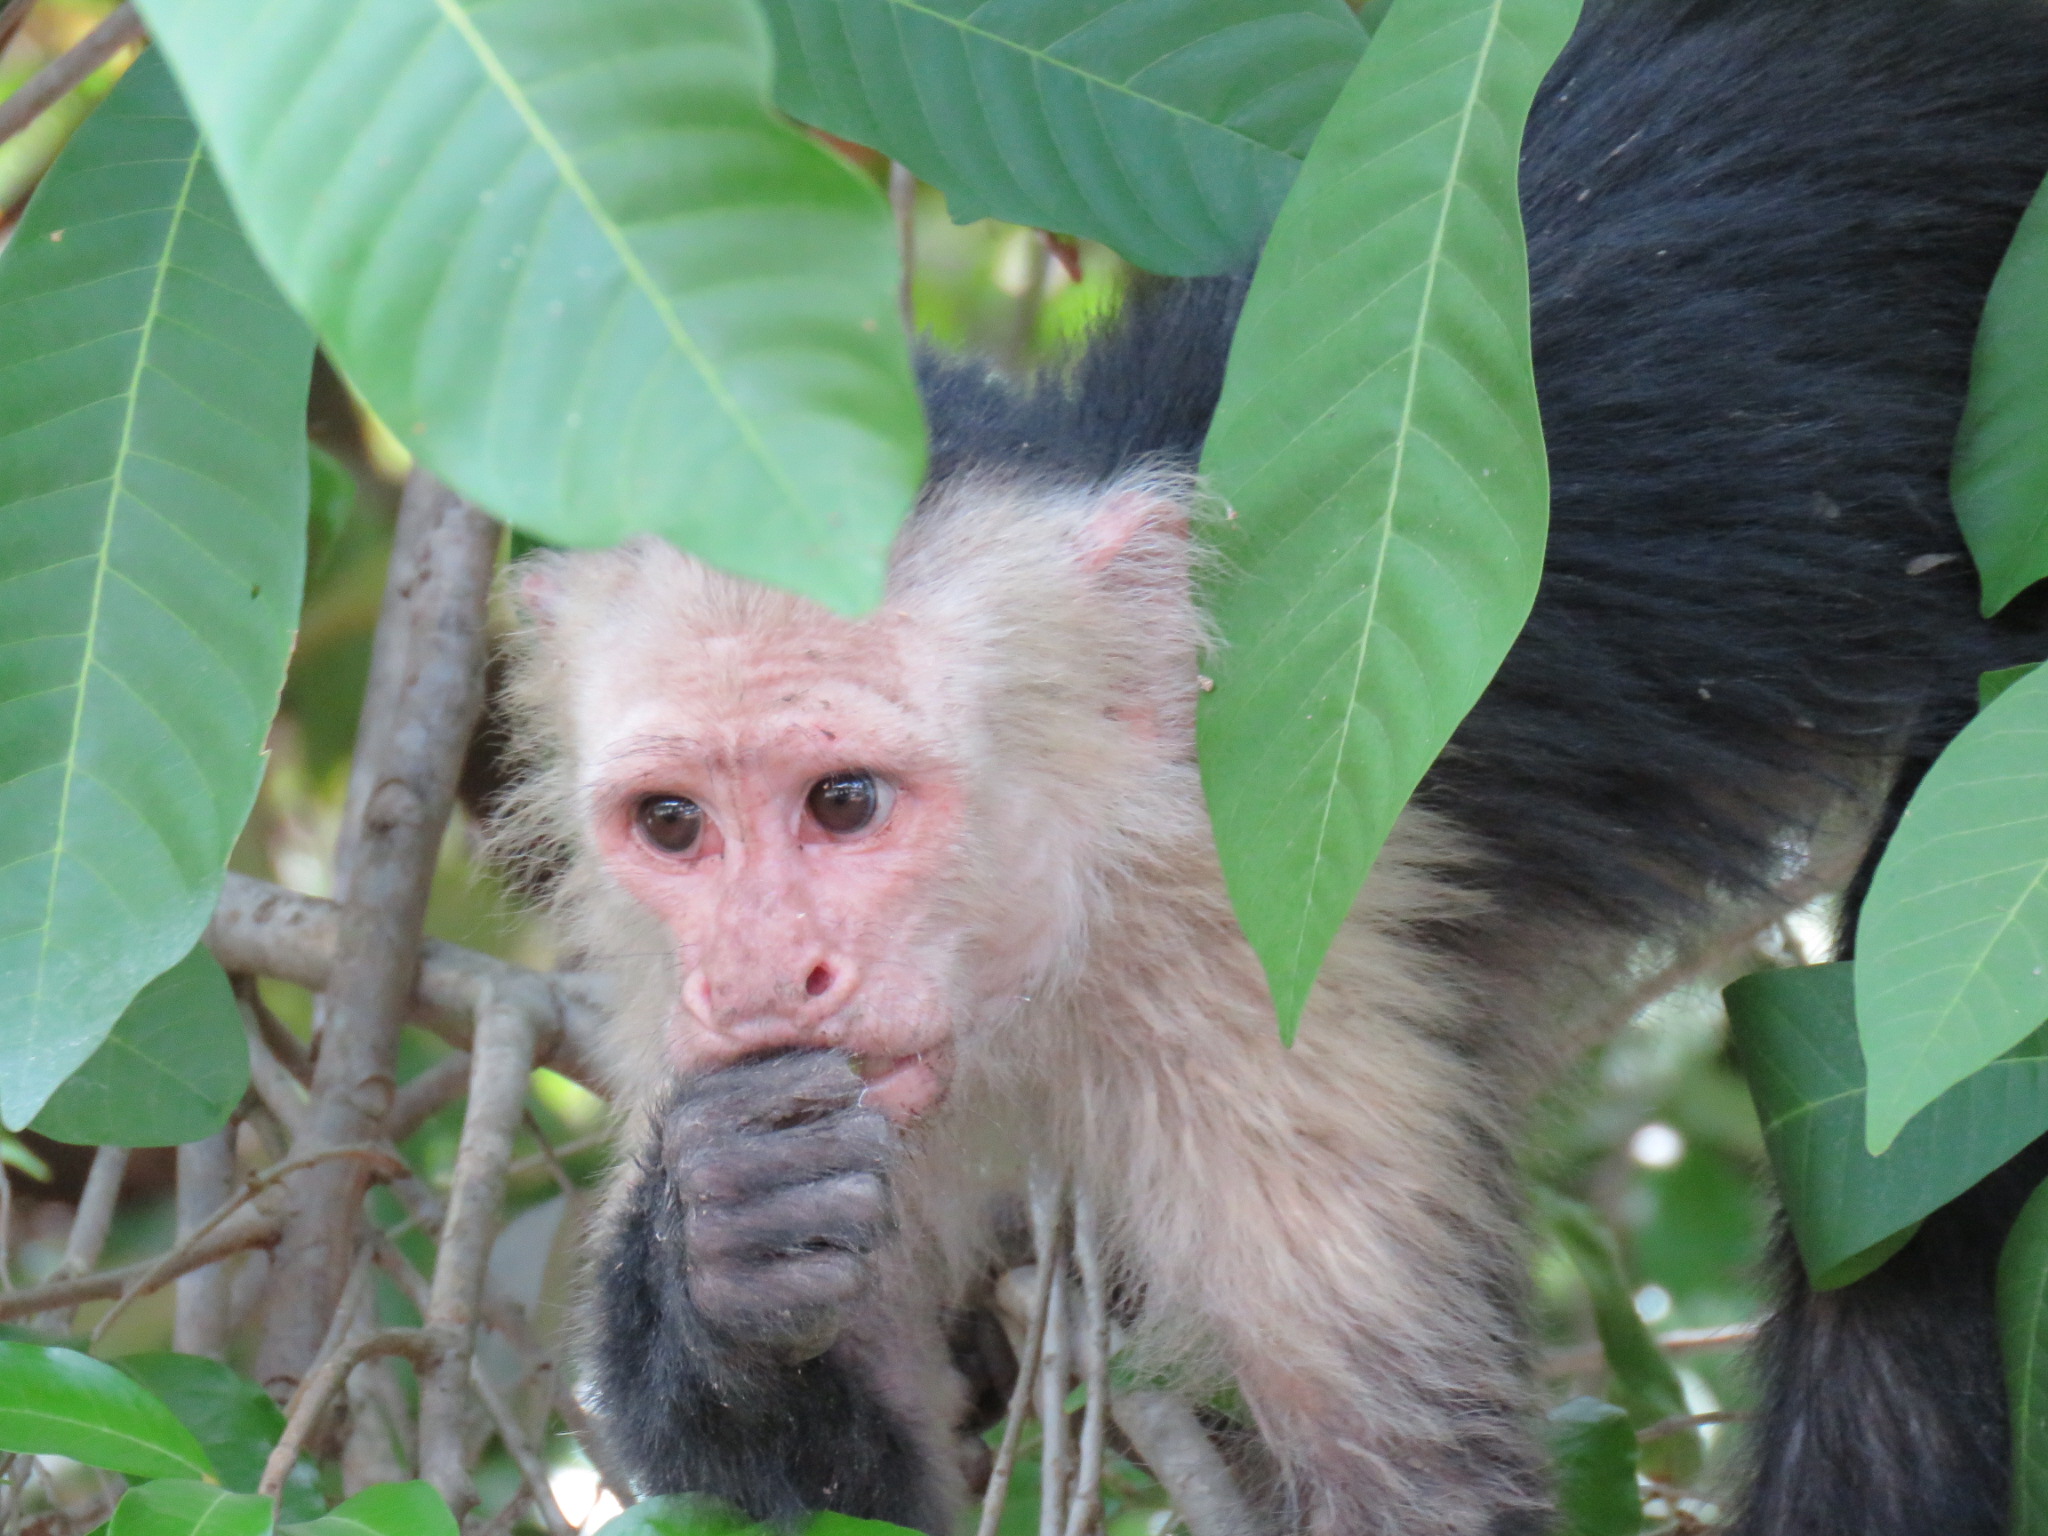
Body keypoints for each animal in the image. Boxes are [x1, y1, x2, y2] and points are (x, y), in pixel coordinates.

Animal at [491, 3, 2048, 1536]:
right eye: (674, 825)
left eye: (845, 803)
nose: (761, 976)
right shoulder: (679, 1000)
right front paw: (719, 1250)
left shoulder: (1261, 948)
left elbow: (1421, 1491)